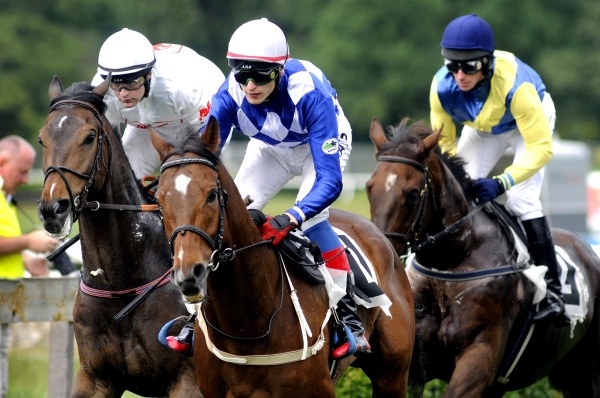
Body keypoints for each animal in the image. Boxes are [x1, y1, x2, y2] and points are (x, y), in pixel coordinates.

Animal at [37, 76, 202, 396]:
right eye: (41, 138)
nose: (53, 209)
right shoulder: (95, 377)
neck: (120, 286)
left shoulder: (188, 379)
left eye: (89, 136)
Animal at [364, 116, 600, 396]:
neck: (450, 263)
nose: (380, 249)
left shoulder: (480, 357)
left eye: (412, 194)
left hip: (584, 373)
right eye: (369, 188)